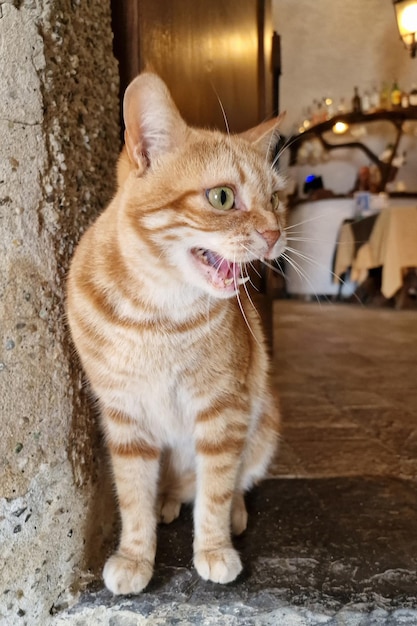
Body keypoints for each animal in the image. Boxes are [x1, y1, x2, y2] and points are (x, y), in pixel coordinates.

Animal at [66, 70, 286, 592]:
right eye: (222, 197)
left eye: (275, 199)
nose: (274, 234)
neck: (157, 318)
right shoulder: (125, 419)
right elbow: (132, 498)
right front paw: (135, 556)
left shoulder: (223, 413)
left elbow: (216, 492)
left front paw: (213, 549)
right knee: (171, 490)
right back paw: (167, 502)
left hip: (263, 421)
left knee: (230, 484)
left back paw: (232, 515)